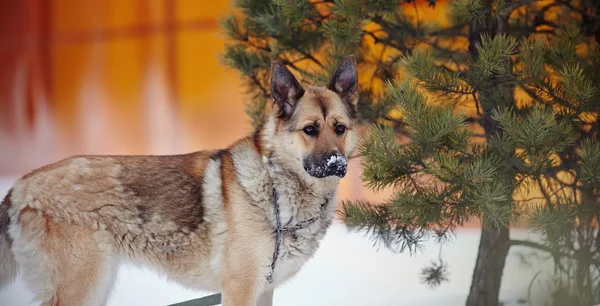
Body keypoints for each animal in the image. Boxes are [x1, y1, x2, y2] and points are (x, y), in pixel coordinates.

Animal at [0, 55, 356, 306]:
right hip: (85, 287)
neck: (276, 191)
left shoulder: (264, 290)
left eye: (339, 128)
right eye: (310, 129)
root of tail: (20, 187)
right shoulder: (239, 289)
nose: (336, 163)